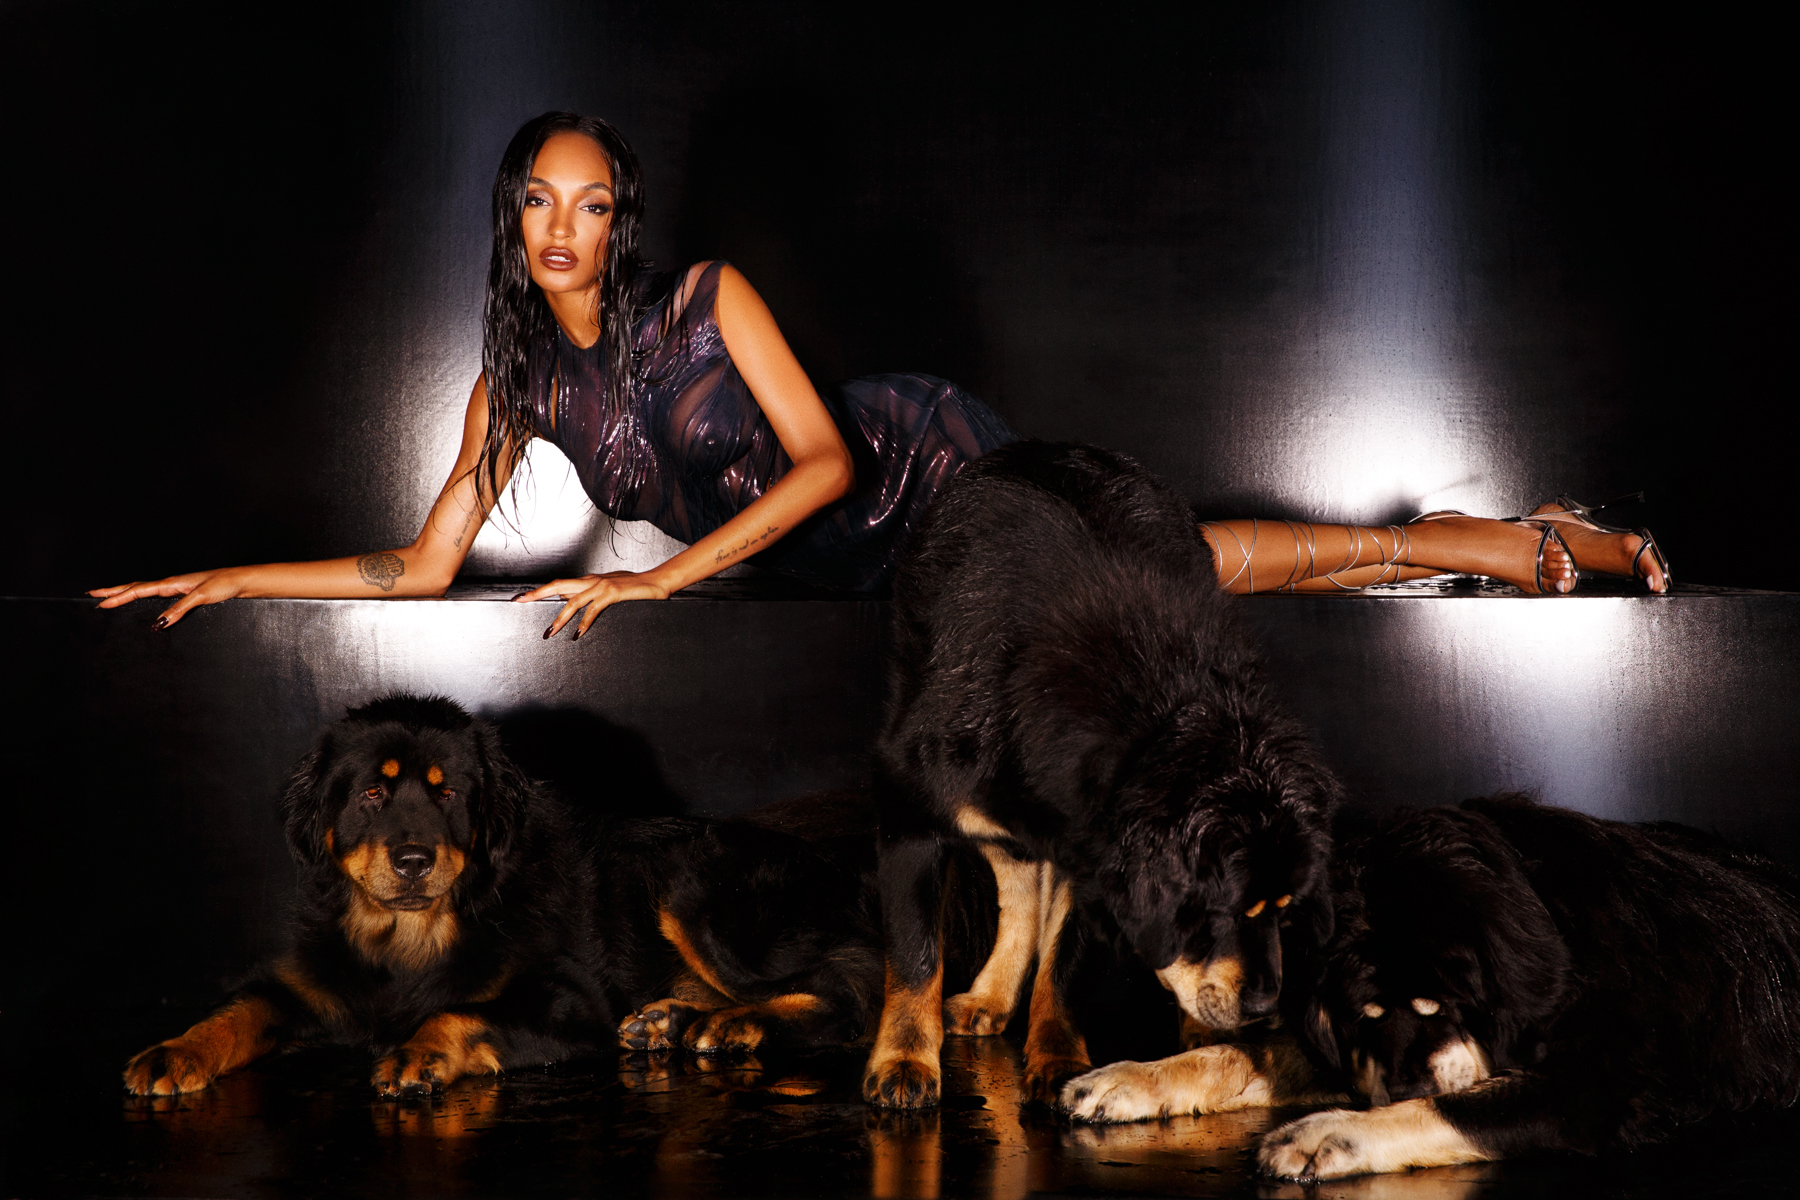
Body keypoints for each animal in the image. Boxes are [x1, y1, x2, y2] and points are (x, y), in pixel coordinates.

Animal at [125, 694, 885, 1101]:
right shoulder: (304, 984)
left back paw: (734, 1025)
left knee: (849, 997)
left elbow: (459, 1010)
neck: (410, 941)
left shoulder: (570, 1002)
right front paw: (175, 1051)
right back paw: (672, 1020)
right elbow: (237, 1010)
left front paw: (417, 1052)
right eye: (372, 793)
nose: (413, 860)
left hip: (692, 884)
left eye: (449, 795)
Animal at [864, 438, 1346, 1108]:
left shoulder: (1089, 861)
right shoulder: (910, 813)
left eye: (1284, 908)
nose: (1265, 1011)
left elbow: (1065, 964)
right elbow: (916, 957)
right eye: (1222, 910)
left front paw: (1058, 1057)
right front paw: (905, 1061)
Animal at [1058, 798, 1800, 1180]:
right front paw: (1132, 1076)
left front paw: (1333, 1131)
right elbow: (1250, 1051)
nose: (1402, 1084)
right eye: (1363, 1015)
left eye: (1441, 1008)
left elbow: (1459, 1107)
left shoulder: (1605, 1085)